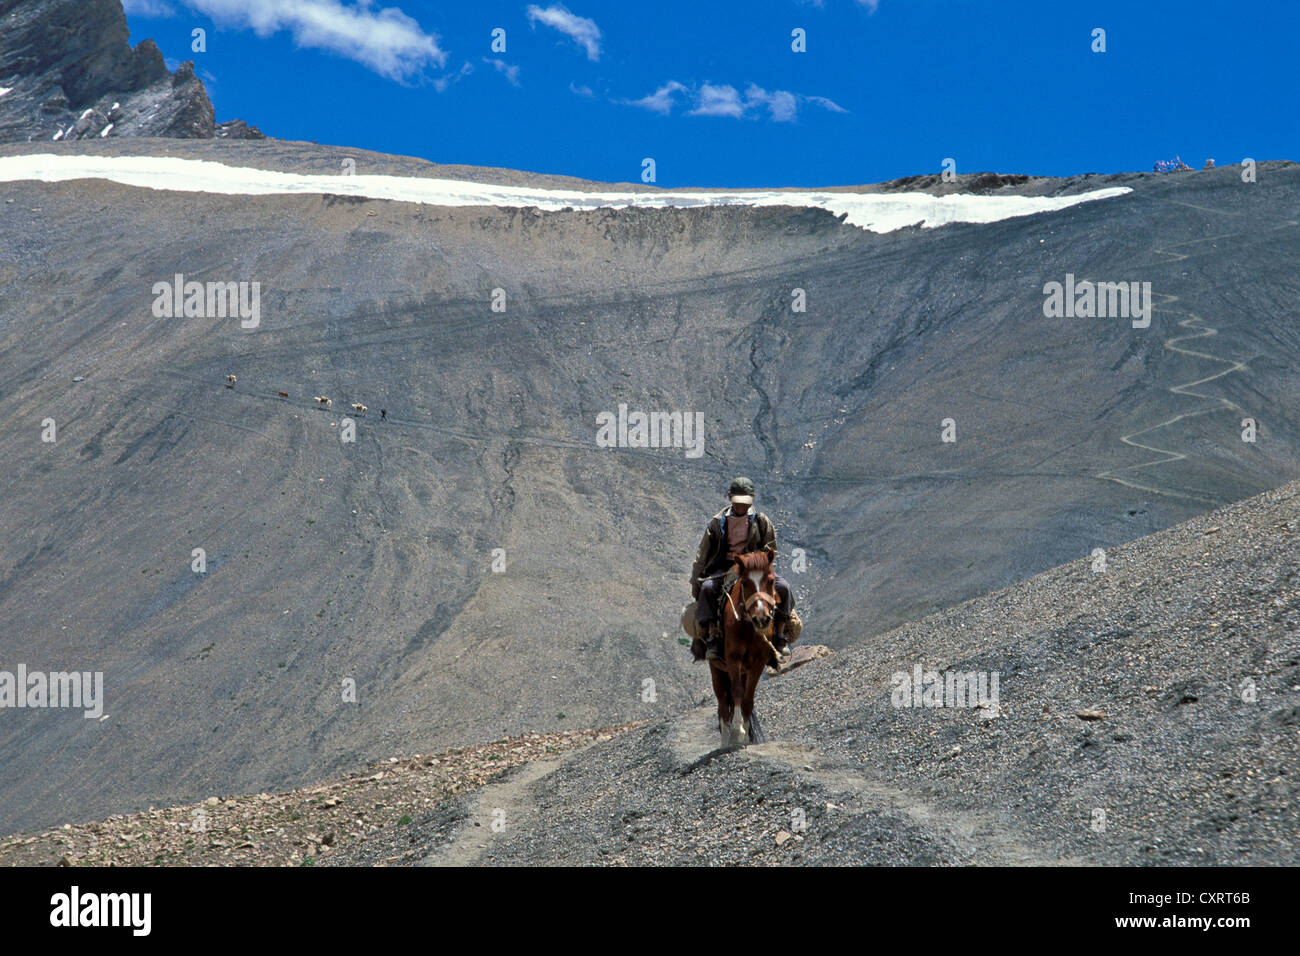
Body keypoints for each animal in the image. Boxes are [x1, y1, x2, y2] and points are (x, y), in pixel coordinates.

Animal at [717, 554, 774, 749]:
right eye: (745, 583)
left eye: (771, 581)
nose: (761, 619)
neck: (748, 627)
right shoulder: (733, 658)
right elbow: (736, 691)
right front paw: (737, 732)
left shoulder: (759, 661)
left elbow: (748, 697)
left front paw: (746, 735)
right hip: (717, 668)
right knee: (721, 701)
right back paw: (725, 741)